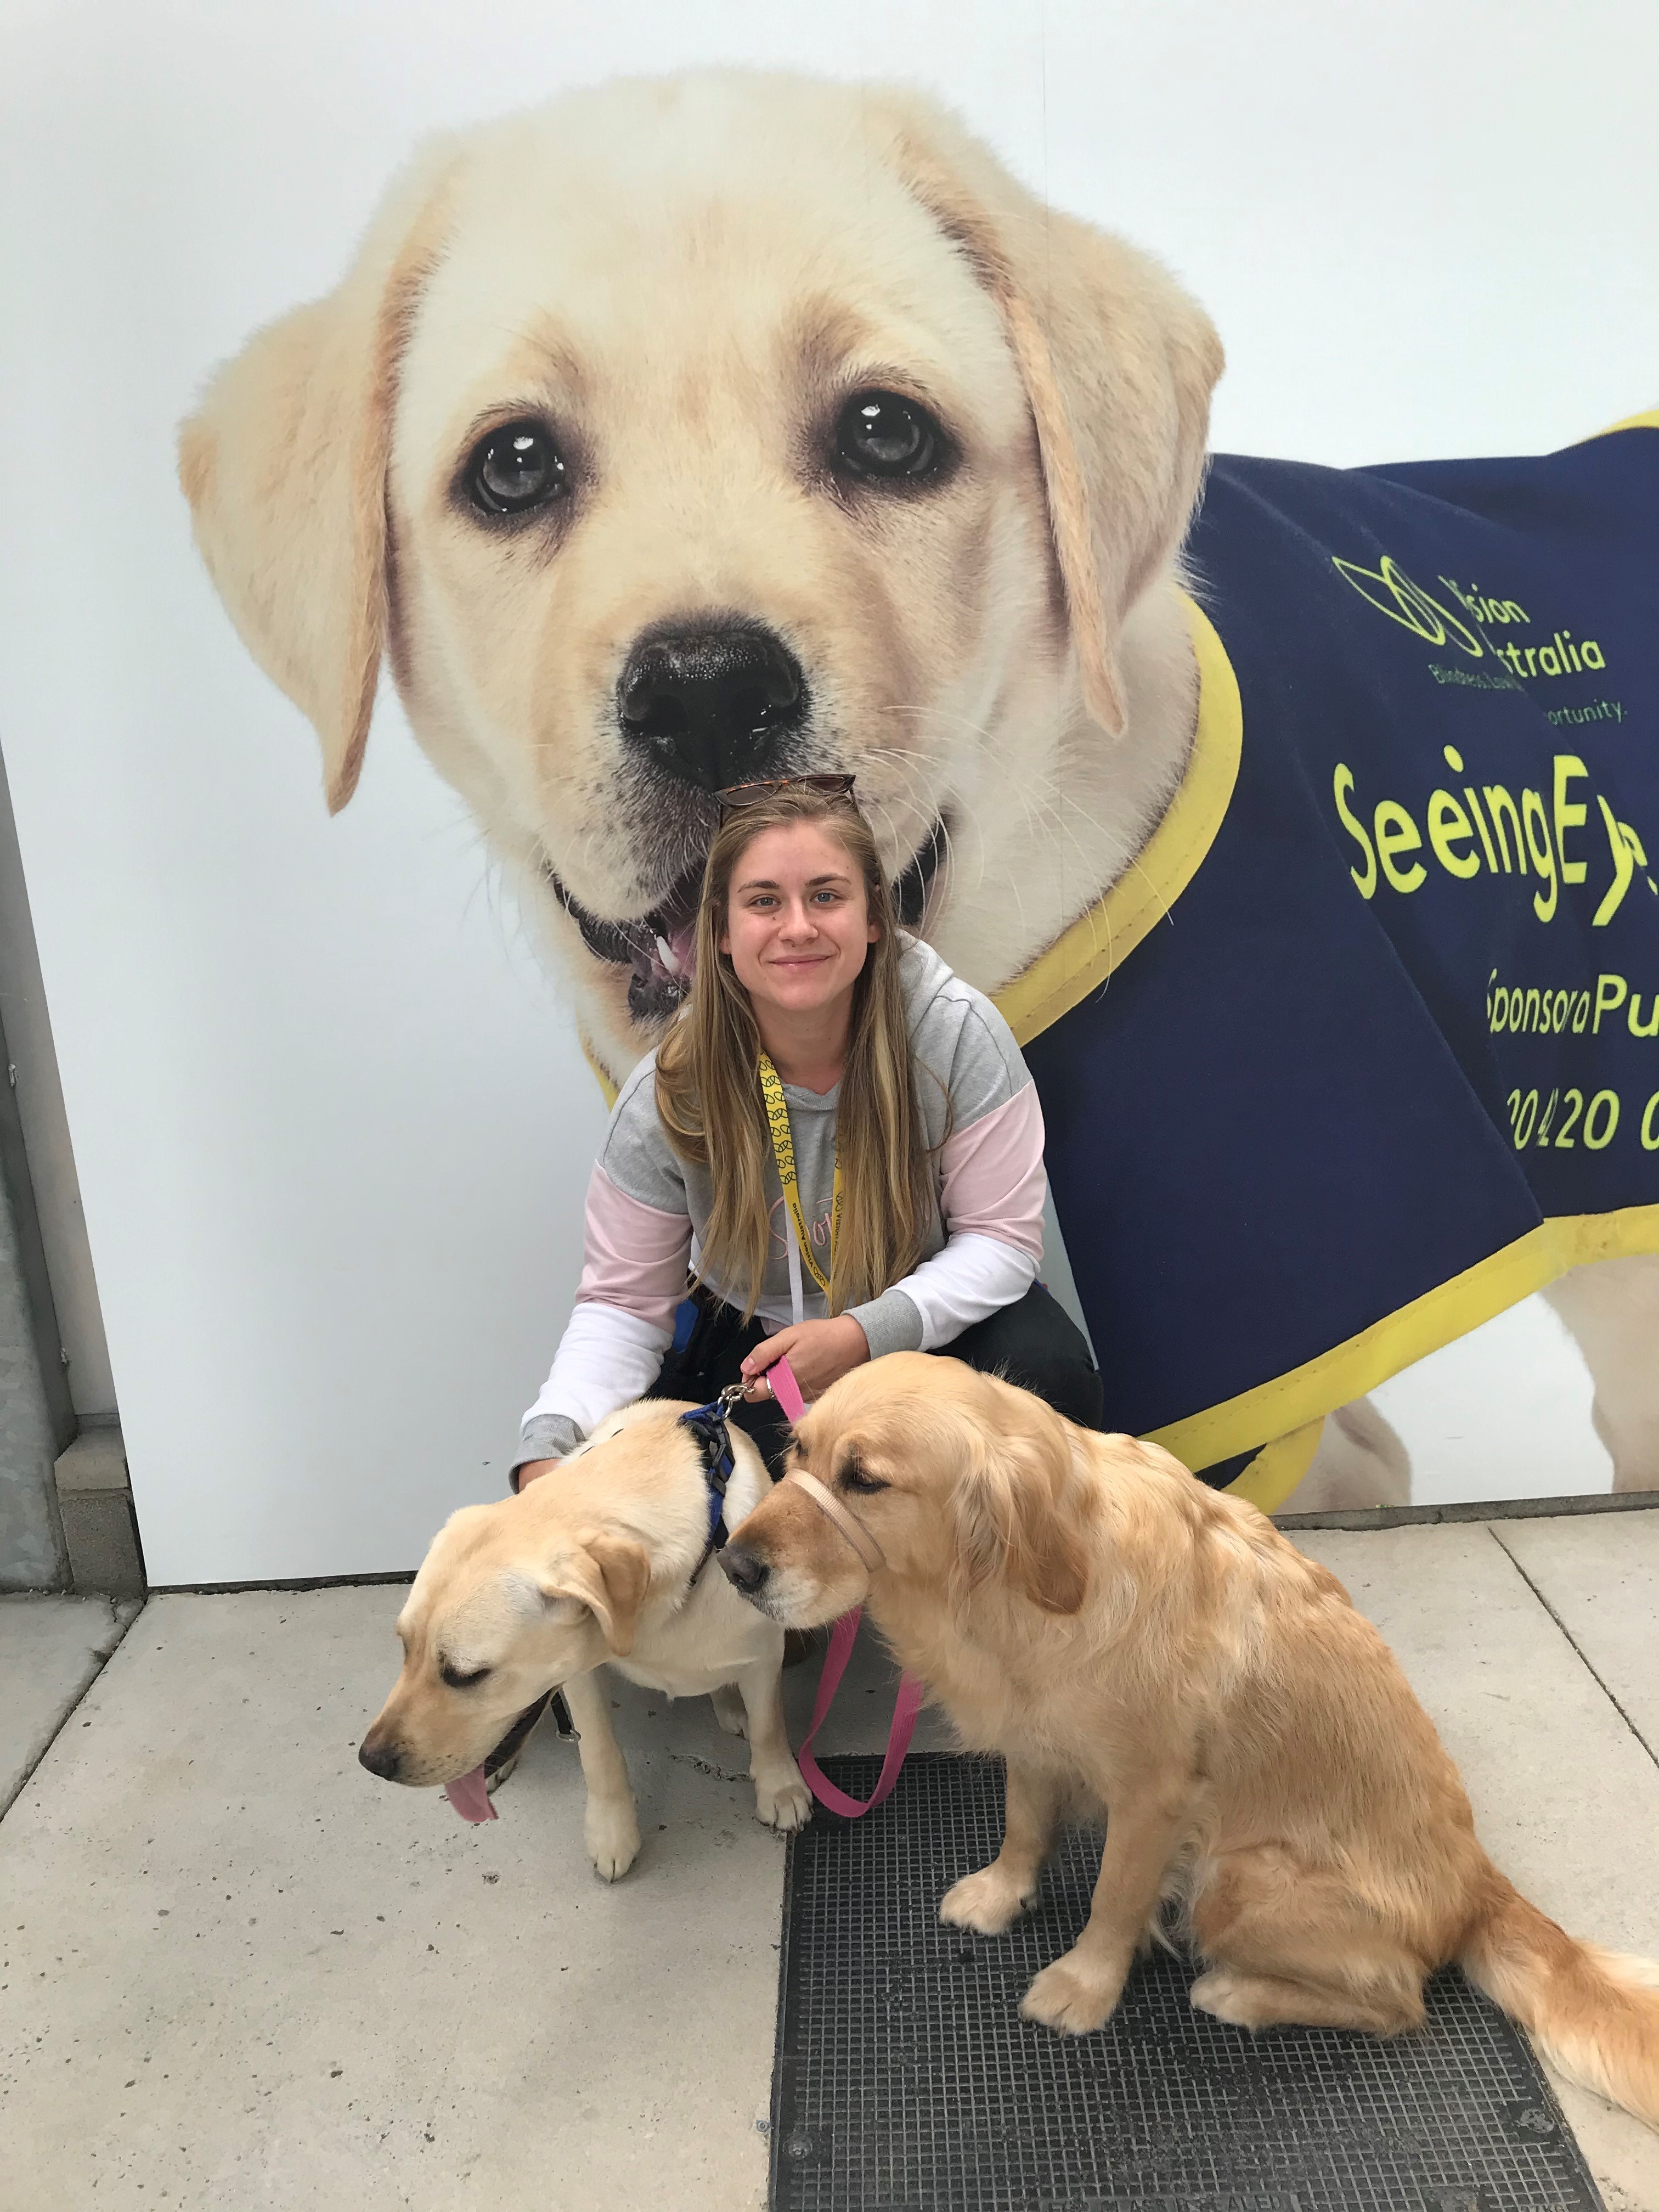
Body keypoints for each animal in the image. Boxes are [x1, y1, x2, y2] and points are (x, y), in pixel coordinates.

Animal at [363, 1398, 814, 1867]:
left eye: (467, 1675)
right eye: (405, 1647)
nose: (371, 1761)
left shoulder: (766, 1655)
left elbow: (769, 1726)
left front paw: (780, 1787)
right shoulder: (579, 1675)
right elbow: (599, 1753)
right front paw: (612, 1833)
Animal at [721, 1353, 1659, 2132]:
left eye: (864, 1479)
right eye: (797, 1447)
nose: (734, 1567)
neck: (1027, 1578)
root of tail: (1478, 1881)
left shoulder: (1153, 1795)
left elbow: (1113, 1899)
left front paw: (1084, 1986)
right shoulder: (1034, 1736)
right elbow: (1024, 1824)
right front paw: (1001, 1893)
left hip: (1236, 1878)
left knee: (1399, 2001)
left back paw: (1240, 1991)